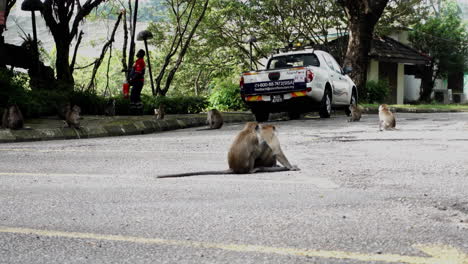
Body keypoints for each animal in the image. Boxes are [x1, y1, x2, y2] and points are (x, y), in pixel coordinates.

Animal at [156, 121, 296, 177]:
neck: (248, 130)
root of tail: (233, 168)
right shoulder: (259, 138)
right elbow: (272, 149)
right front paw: (291, 167)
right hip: (249, 164)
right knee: (262, 149)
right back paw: (254, 170)